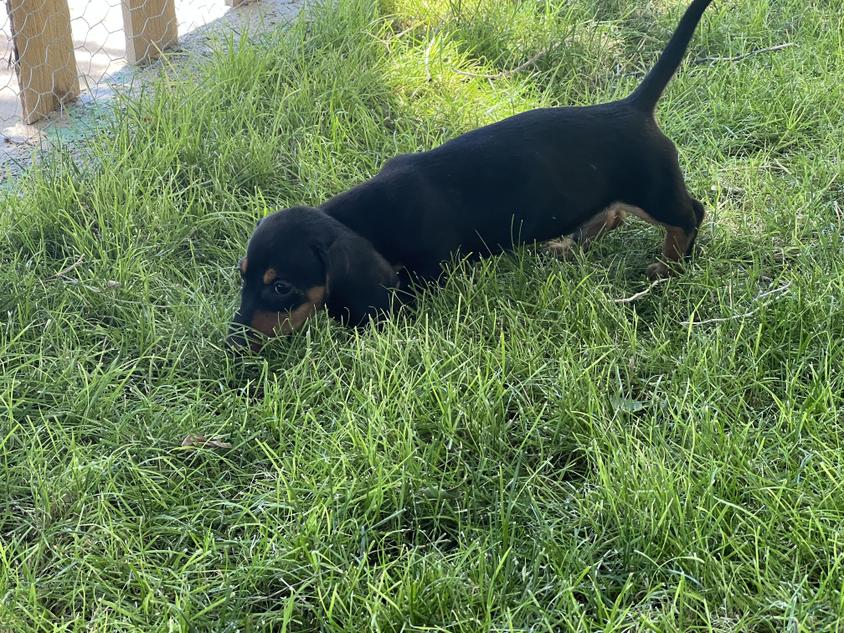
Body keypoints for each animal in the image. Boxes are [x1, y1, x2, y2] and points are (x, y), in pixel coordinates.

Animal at [229, 0, 712, 350]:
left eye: (281, 287)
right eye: (242, 274)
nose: (233, 344)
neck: (371, 214)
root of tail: (632, 107)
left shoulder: (427, 275)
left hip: (653, 191)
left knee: (691, 214)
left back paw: (670, 266)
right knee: (611, 214)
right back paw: (570, 245)